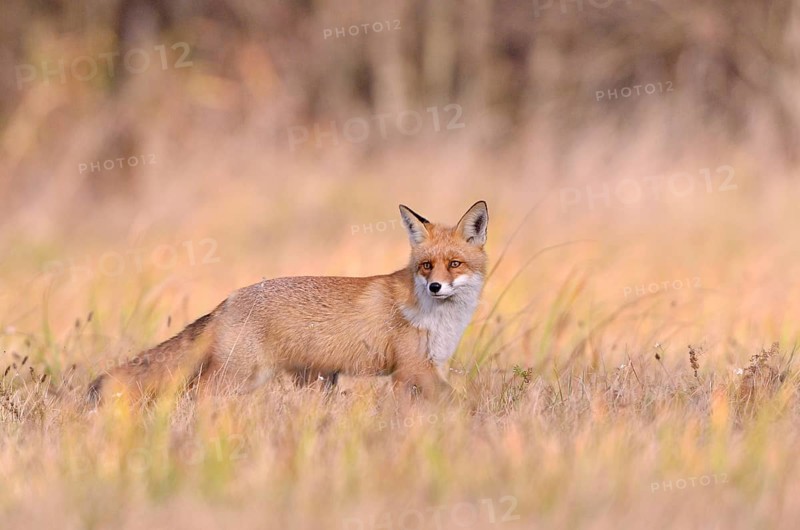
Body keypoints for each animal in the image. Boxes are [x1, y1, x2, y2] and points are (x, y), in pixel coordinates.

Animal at [88, 201, 489, 404]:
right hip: (241, 374)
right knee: (198, 395)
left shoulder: (421, 370)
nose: (435, 286)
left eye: (455, 264)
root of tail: (227, 300)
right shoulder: (411, 369)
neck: (440, 320)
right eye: (426, 265)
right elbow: (458, 401)